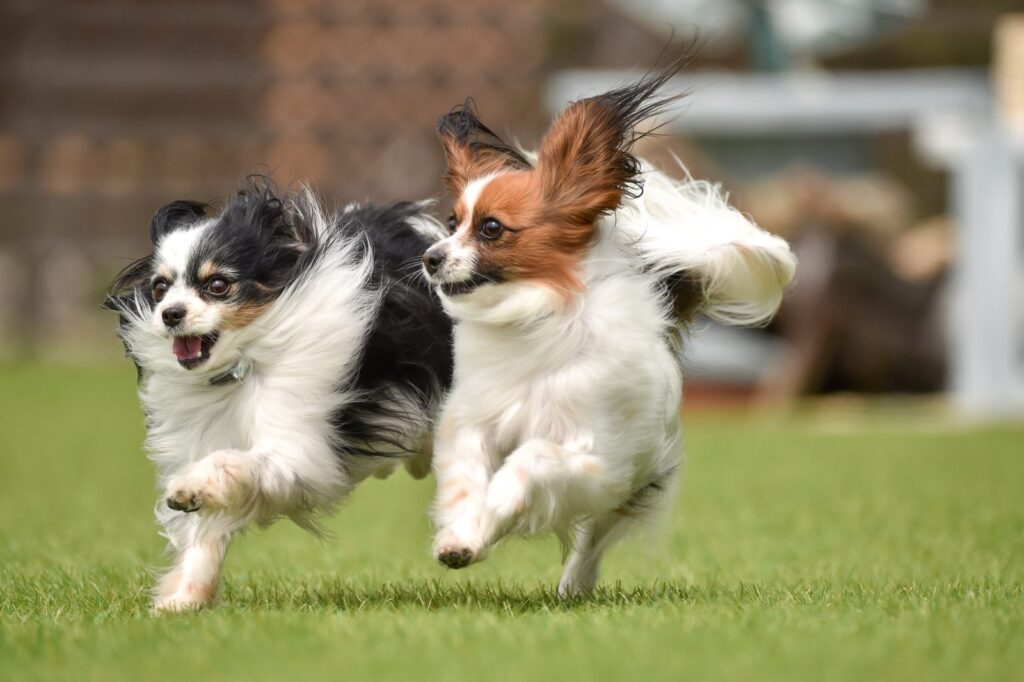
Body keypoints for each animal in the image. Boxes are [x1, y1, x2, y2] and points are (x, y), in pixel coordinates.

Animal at [107, 178, 452, 606]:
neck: (243, 363)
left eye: (217, 285)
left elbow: (230, 462)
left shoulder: (297, 453)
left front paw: (187, 487)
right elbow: (204, 534)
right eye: (160, 288)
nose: (171, 314)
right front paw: (184, 600)